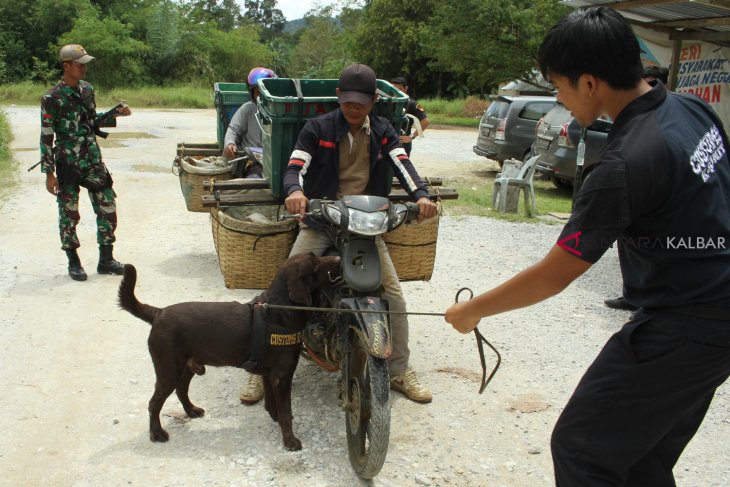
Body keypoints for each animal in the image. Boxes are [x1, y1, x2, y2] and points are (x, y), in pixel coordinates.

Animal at [116, 254, 338, 452]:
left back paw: (191, 410)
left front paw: (275, 421)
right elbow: (286, 412)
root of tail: (158, 312)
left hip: (186, 367)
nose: (337, 260)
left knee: (181, 390)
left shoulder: (269, 375)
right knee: (154, 403)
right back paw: (157, 433)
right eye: (315, 264)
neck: (280, 310)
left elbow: (272, 405)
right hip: (168, 371)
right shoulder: (282, 376)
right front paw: (290, 440)